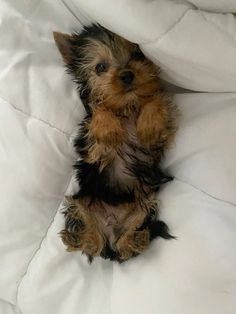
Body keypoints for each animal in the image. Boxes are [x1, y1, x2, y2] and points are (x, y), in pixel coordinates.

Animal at [52, 23, 176, 262]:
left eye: (138, 55)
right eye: (100, 67)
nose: (127, 75)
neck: (126, 106)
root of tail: (110, 229)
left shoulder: (162, 135)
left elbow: (156, 99)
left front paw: (149, 125)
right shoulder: (91, 146)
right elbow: (99, 110)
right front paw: (108, 129)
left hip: (144, 205)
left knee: (126, 243)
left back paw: (135, 239)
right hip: (81, 204)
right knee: (91, 238)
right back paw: (80, 239)